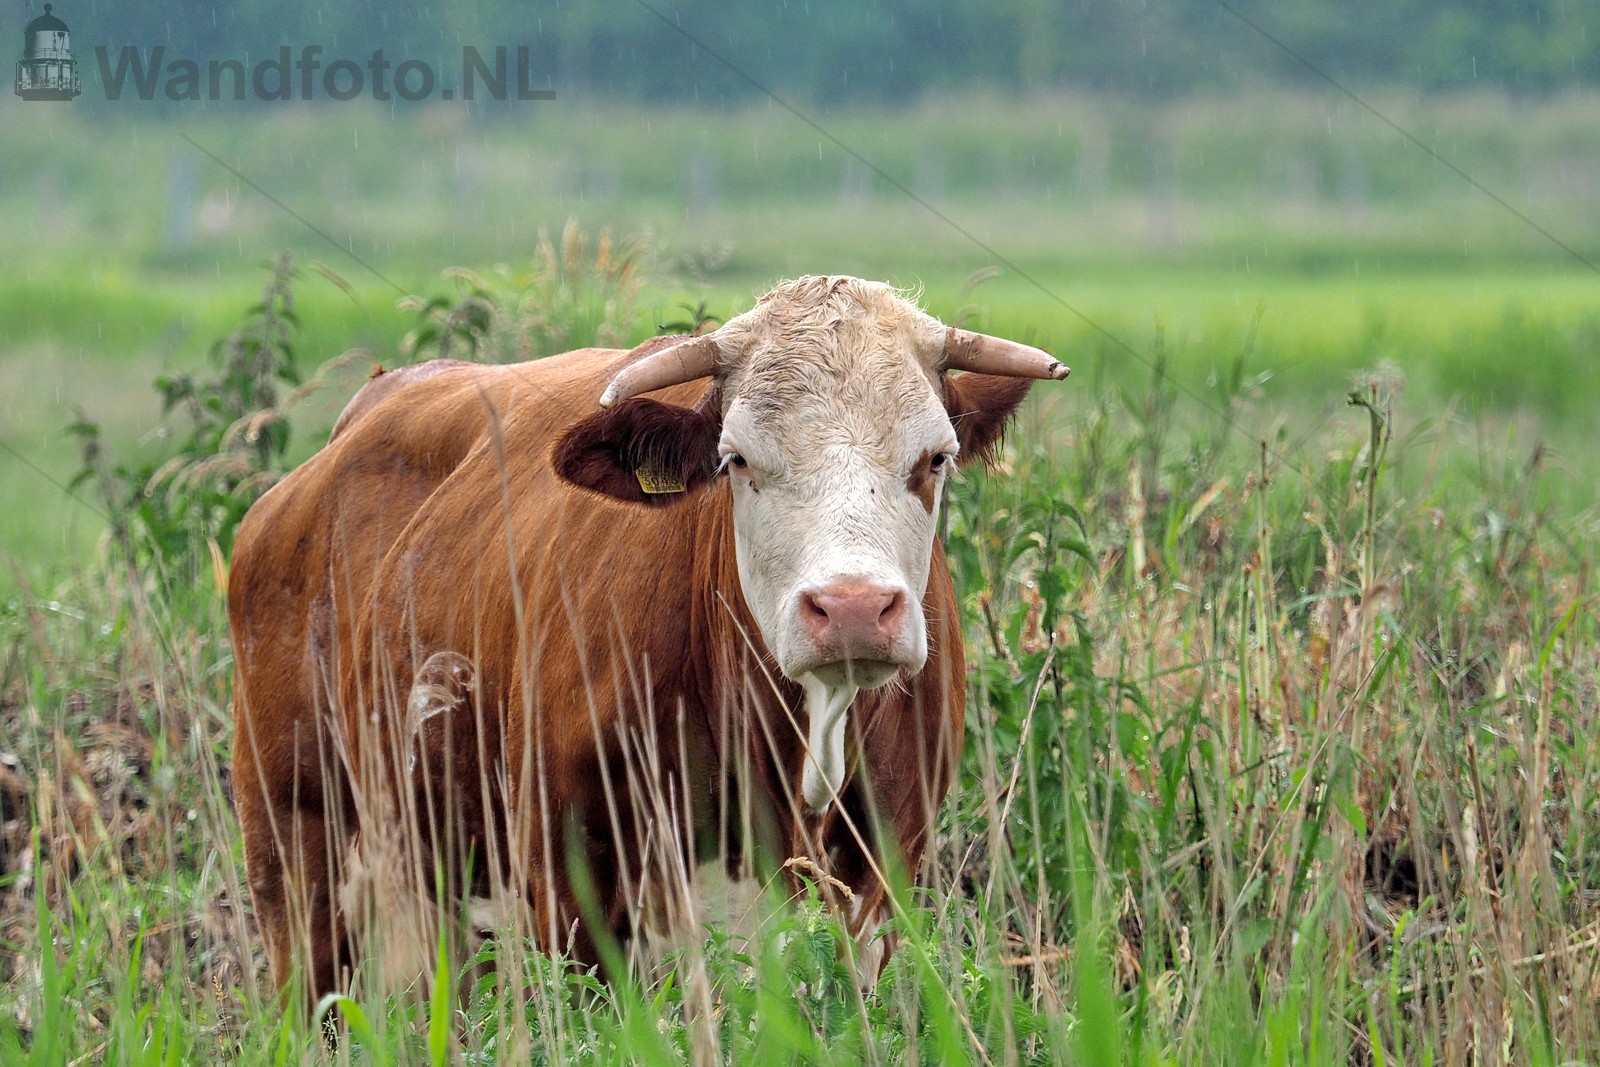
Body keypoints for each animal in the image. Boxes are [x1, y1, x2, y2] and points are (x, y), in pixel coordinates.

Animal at [227, 275, 1068, 1003]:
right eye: (737, 459)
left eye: (935, 457)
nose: (854, 607)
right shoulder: (574, 891)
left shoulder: (879, 883)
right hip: (295, 851)